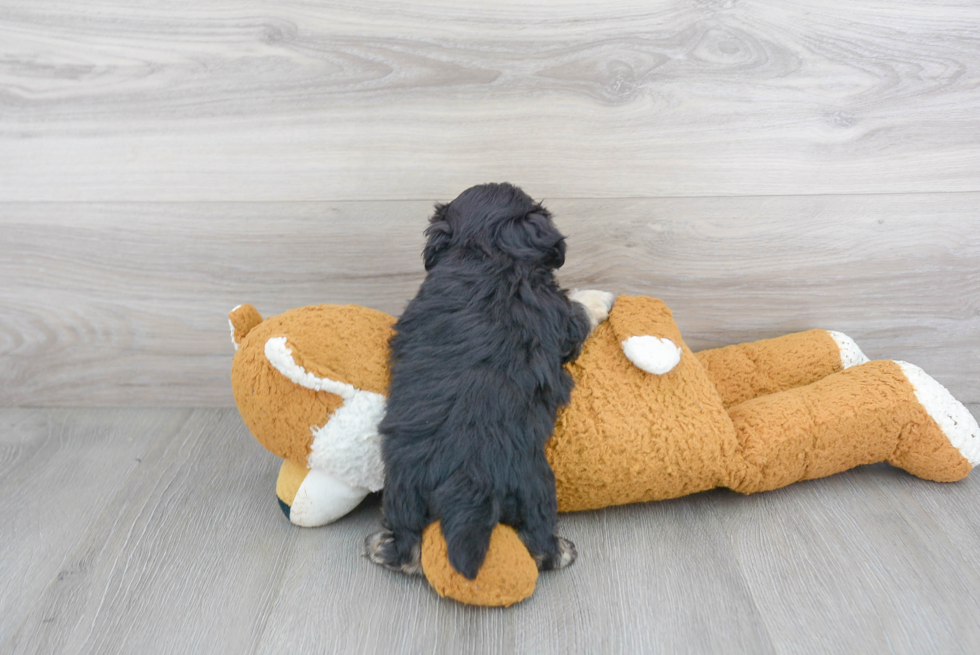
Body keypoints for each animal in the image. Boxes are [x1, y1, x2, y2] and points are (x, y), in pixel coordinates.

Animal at [366, 182, 612, 576]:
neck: (484, 252)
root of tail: (467, 481)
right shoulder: (560, 317)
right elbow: (578, 307)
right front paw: (600, 297)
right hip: (534, 486)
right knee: (538, 540)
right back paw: (563, 551)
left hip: (405, 486)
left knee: (405, 545)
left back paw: (379, 545)